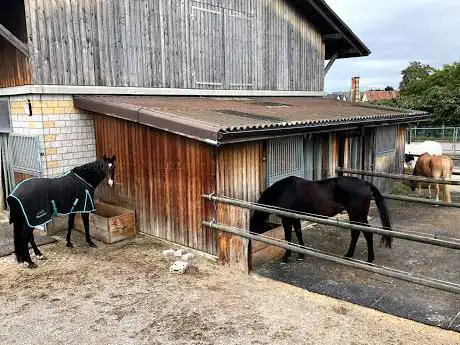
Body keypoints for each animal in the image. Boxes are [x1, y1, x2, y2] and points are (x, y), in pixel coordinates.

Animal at [250, 176, 394, 262]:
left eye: (253, 224)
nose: (252, 235)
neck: (284, 190)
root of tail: (365, 183)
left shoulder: (287, 218)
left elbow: (288, 237)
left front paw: (286, 257)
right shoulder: (296, 217)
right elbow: (298, 233)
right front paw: (301, 254)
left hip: (357, 215)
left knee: (366, 233)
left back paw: (369, 259)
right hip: (356, 216)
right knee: (356, 233)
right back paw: (350, 255)